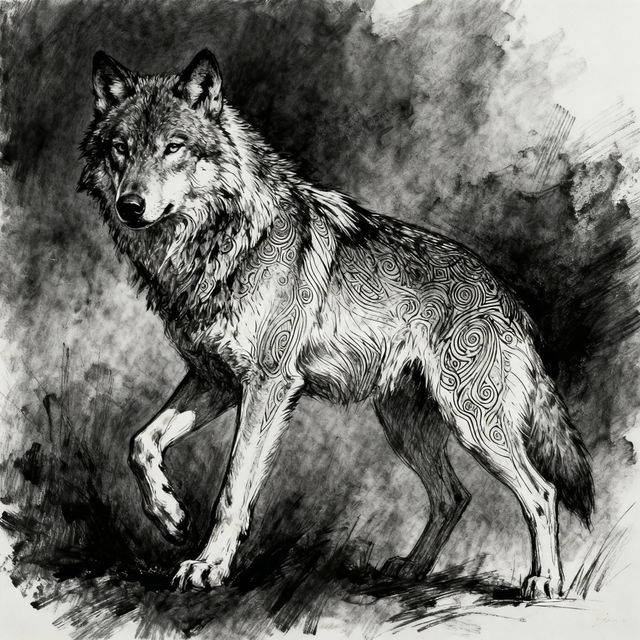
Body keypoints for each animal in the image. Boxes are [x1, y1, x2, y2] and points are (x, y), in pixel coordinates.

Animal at [79, 49, 594, 597]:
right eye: (120, 149)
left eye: (173, 147)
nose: (130, 206)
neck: (219, 245)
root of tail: (511, 300)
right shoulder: (214, 380)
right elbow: (141, 443)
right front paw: (170, 516)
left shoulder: (267, 385)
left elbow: (233, 488)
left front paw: (208, 565)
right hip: (406, 429)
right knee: (453, 497)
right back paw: (410, 570)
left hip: (475, 425)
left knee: (541, 492)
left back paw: (545, 580)